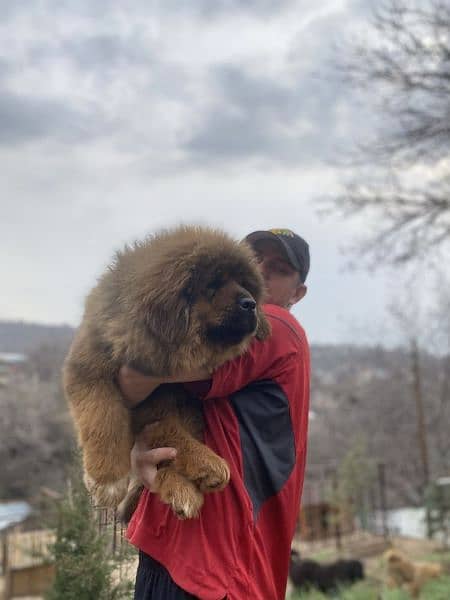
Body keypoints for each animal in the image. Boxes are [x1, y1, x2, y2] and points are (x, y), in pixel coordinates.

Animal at [62, 225, 268, 520]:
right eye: (213, 285)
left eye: (245, 285)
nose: (251, 304)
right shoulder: (89, 366)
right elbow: (102, 417)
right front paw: (107, 481)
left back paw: (198, 475)